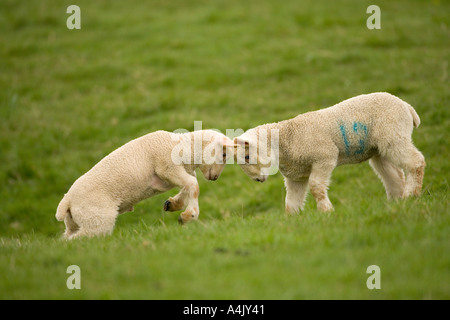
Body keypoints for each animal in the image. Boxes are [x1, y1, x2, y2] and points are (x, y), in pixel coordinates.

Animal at [55, 129, 236, 239]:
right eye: (224, 154)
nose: (215, 178)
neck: (184, 149)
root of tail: (67, 200)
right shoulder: (167, 167)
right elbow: (193, 185)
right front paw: (188, 216)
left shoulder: (176, 174)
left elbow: (189, 187)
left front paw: (173, 204)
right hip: (97, 219)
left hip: (77, 221)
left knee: (66, 237)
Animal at [234, 92, 428, 212]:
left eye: (247, 156)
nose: (258, 180)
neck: (287, 139)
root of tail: (406, 106)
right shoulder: (296, 176)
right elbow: (291, 201)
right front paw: (291, 221)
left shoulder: (324, 156)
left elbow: (316, 187)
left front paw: (326, 211)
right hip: (379, 149)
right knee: (394, 176)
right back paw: (396, 201)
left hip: (393, 134)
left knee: (415, 162)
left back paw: (411, 194)